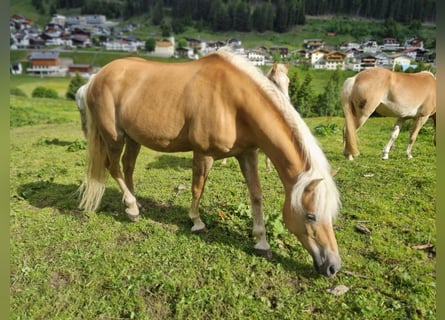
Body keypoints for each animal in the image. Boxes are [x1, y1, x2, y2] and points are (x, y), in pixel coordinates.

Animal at [76, 48, 340, 278]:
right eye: (311, 216)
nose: (333, 266)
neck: (234, 101)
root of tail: (97, 77)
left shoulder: (248, 154)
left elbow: (256, 195)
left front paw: (261, 242)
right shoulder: (203, 154)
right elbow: (197, 188)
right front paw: (197, 222)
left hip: (133, 138)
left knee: (128, 167)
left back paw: (136, 202)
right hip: (114, 137)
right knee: (115, 168)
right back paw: (131, 209)